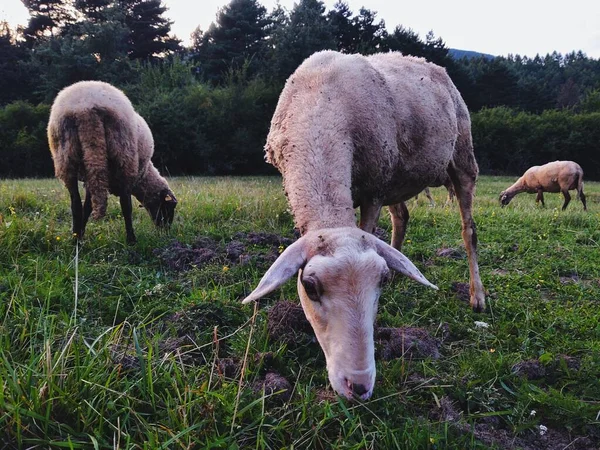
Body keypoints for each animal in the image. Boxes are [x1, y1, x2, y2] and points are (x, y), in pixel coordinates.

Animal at [47, 81, 178, 243]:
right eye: (169, 207)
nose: (165, 230)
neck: (144, 175)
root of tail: (85, 109)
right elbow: (123, 204)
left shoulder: (89, 178)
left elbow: (87, 206)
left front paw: (82, 232)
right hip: (124, 154)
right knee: (125, 204)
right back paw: (131, 239)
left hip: (66, 155)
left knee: (75, 204)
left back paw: (76, 239)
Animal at [241, 50, 486, 400]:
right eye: (310, 287)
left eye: (380, 280)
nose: (358, 386)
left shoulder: (373, 190)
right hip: (397, 175)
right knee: (402, 217)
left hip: (460, 155)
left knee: (469, 232)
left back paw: (477, 296)